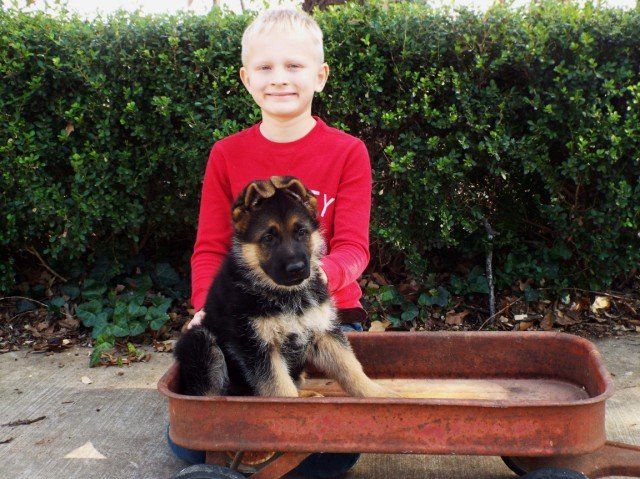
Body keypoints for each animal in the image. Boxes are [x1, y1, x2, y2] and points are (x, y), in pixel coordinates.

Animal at [174, 175, 393, 398]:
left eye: (302, 232)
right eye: (268, 238)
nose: (296, 268)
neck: (285, 294)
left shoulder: (324, 331)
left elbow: (351, 368)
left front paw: (381, 395)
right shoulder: (258, 347)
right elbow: (281, 390)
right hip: (199, 341)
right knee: (208, 393)